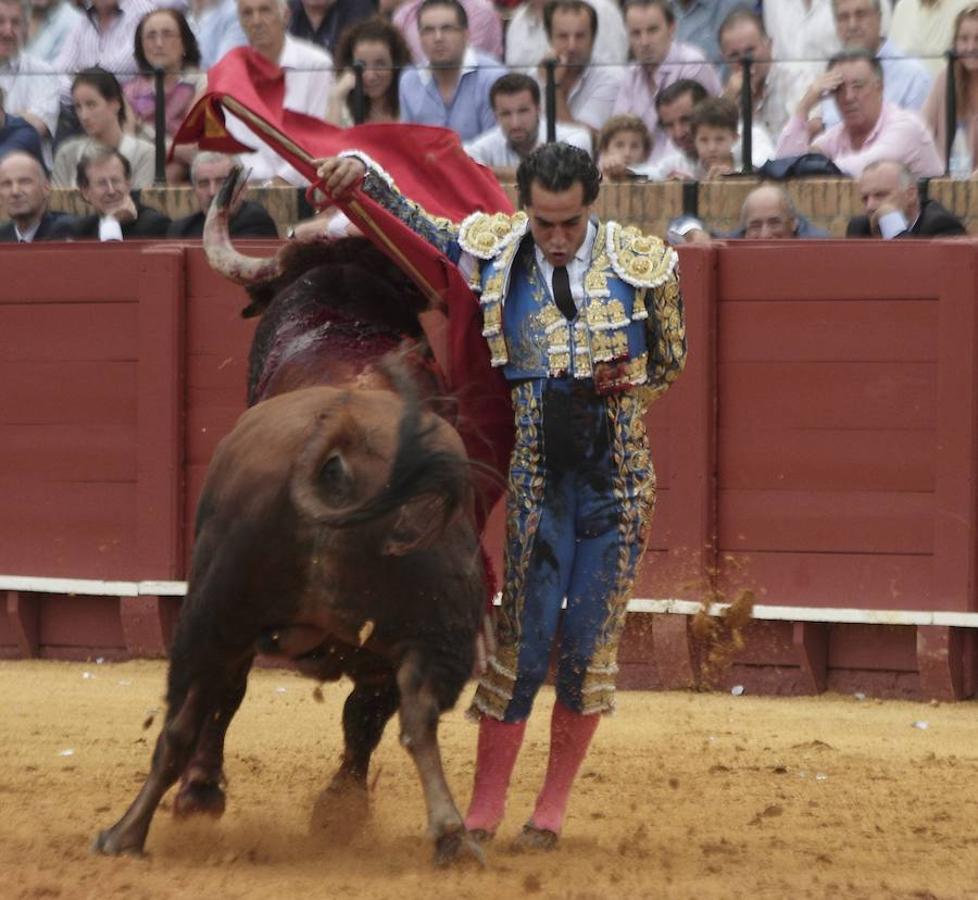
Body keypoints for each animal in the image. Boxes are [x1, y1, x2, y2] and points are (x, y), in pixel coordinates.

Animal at [92, 169, 492, 864]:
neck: (342, 331)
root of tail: (338, 437)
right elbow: (363, 713)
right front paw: (337, 809)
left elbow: (228, 699)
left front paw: (203, 792)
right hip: (434, 620)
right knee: (409, 712)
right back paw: (448, 834)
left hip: (215, 606)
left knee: (192, 709)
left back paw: (132, 828)